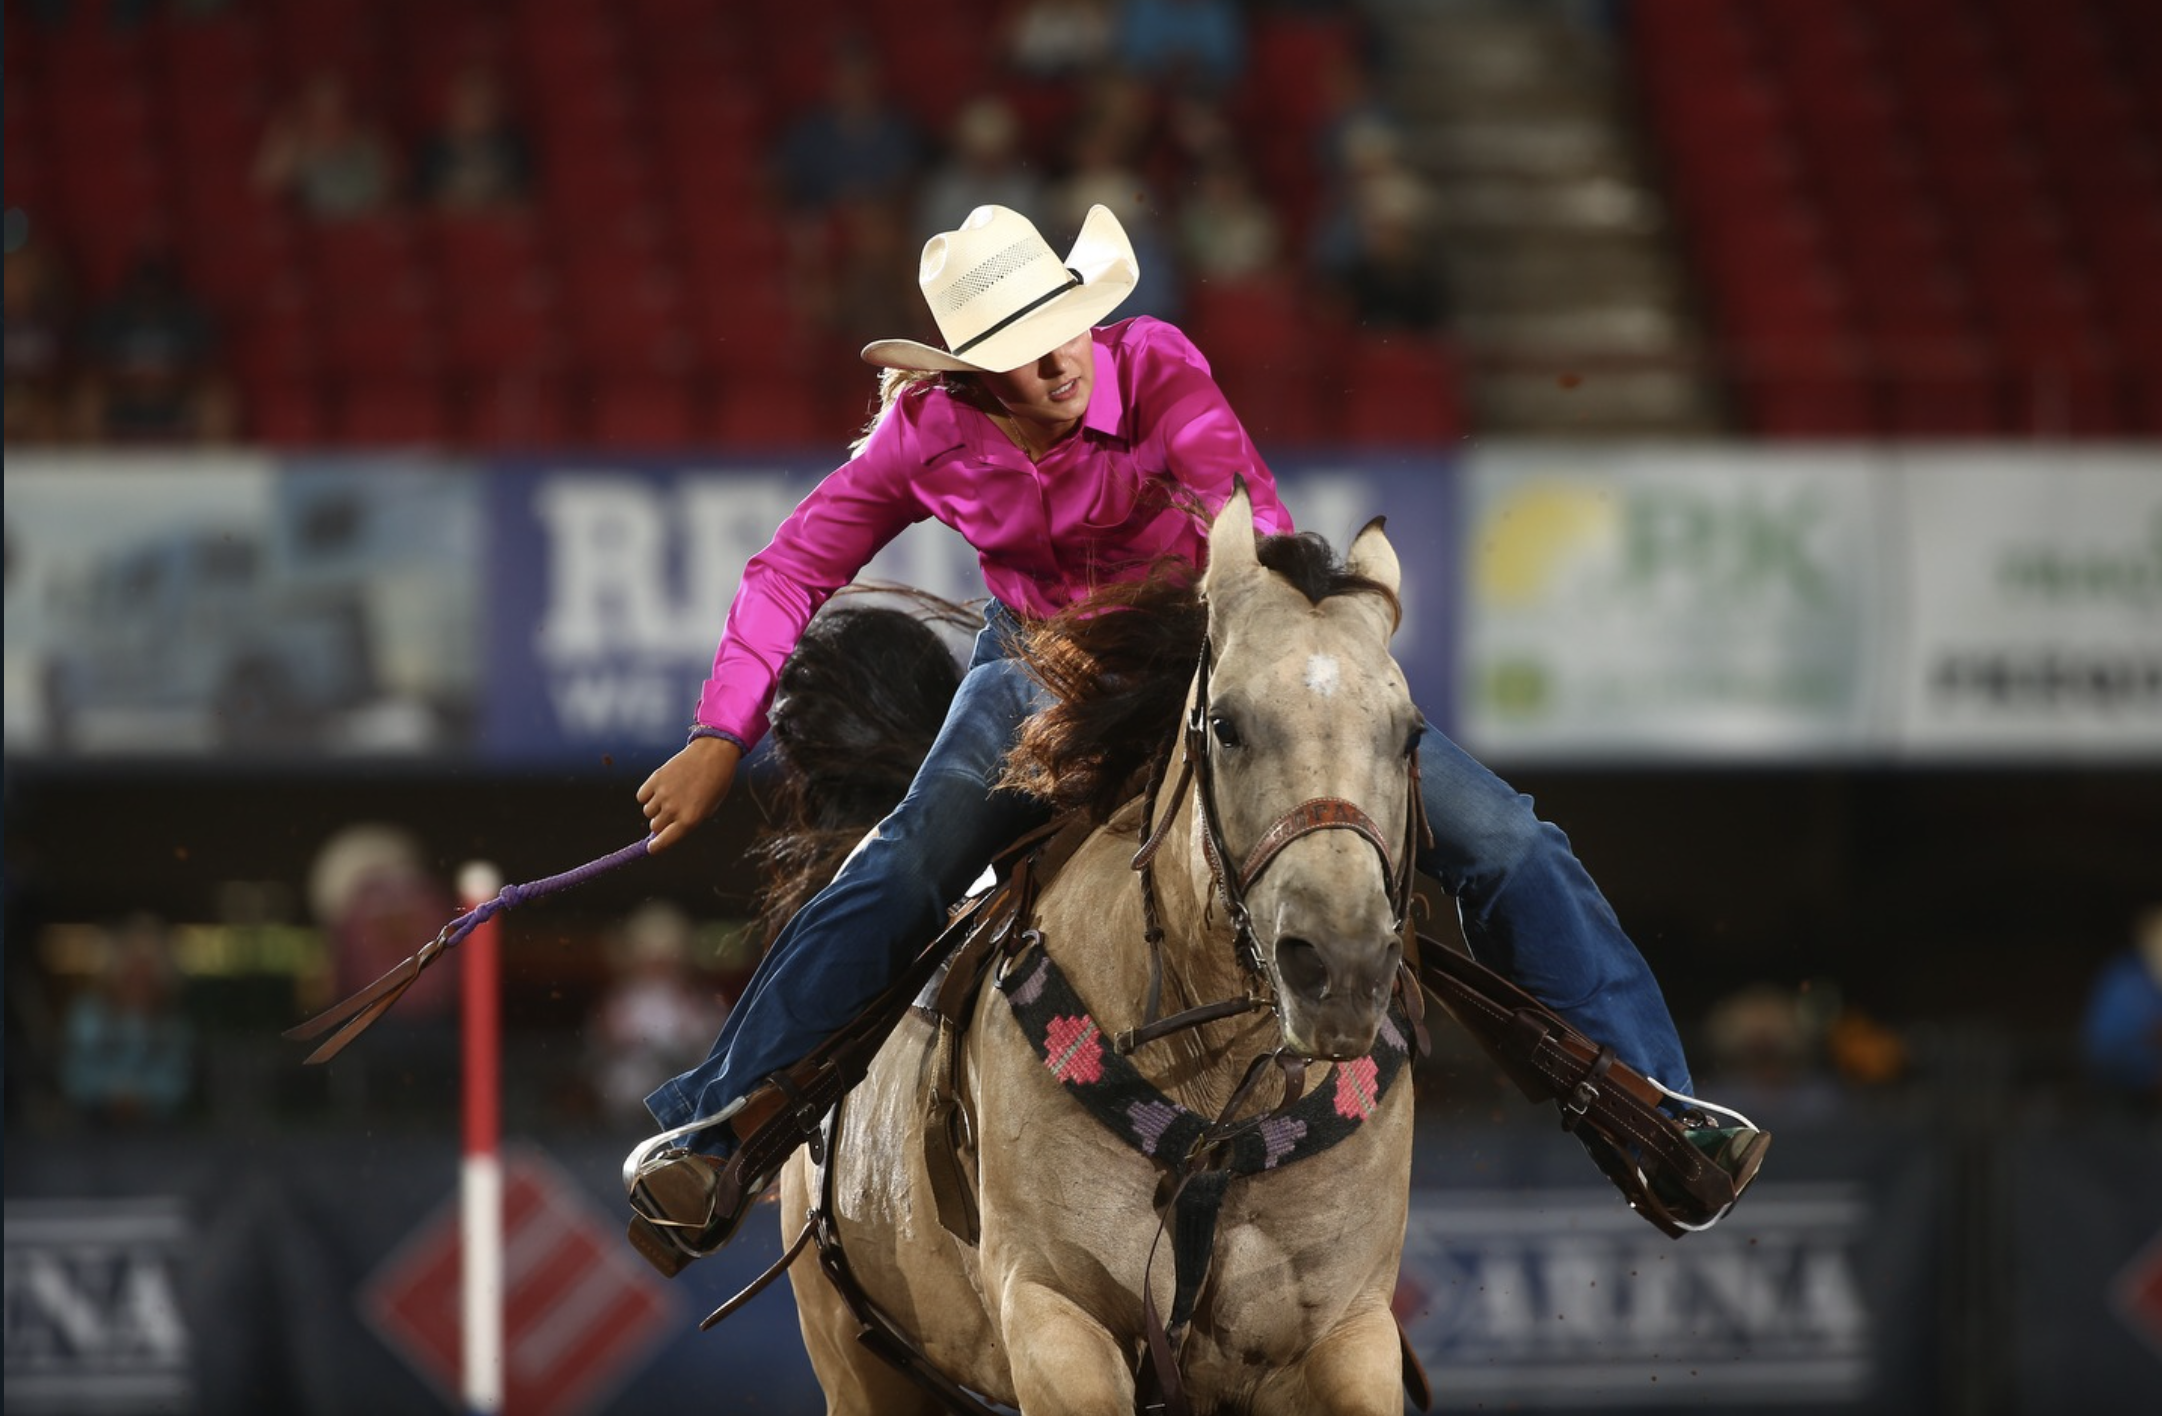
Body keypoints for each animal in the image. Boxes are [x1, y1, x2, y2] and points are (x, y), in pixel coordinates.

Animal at [769, 490, 1426, 1416]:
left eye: (1409, 736)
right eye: (1226, 725)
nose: (1342, 967)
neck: (1222, 1104)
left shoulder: (1348, 1329)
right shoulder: (1057, 1315)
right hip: (862, 1373)